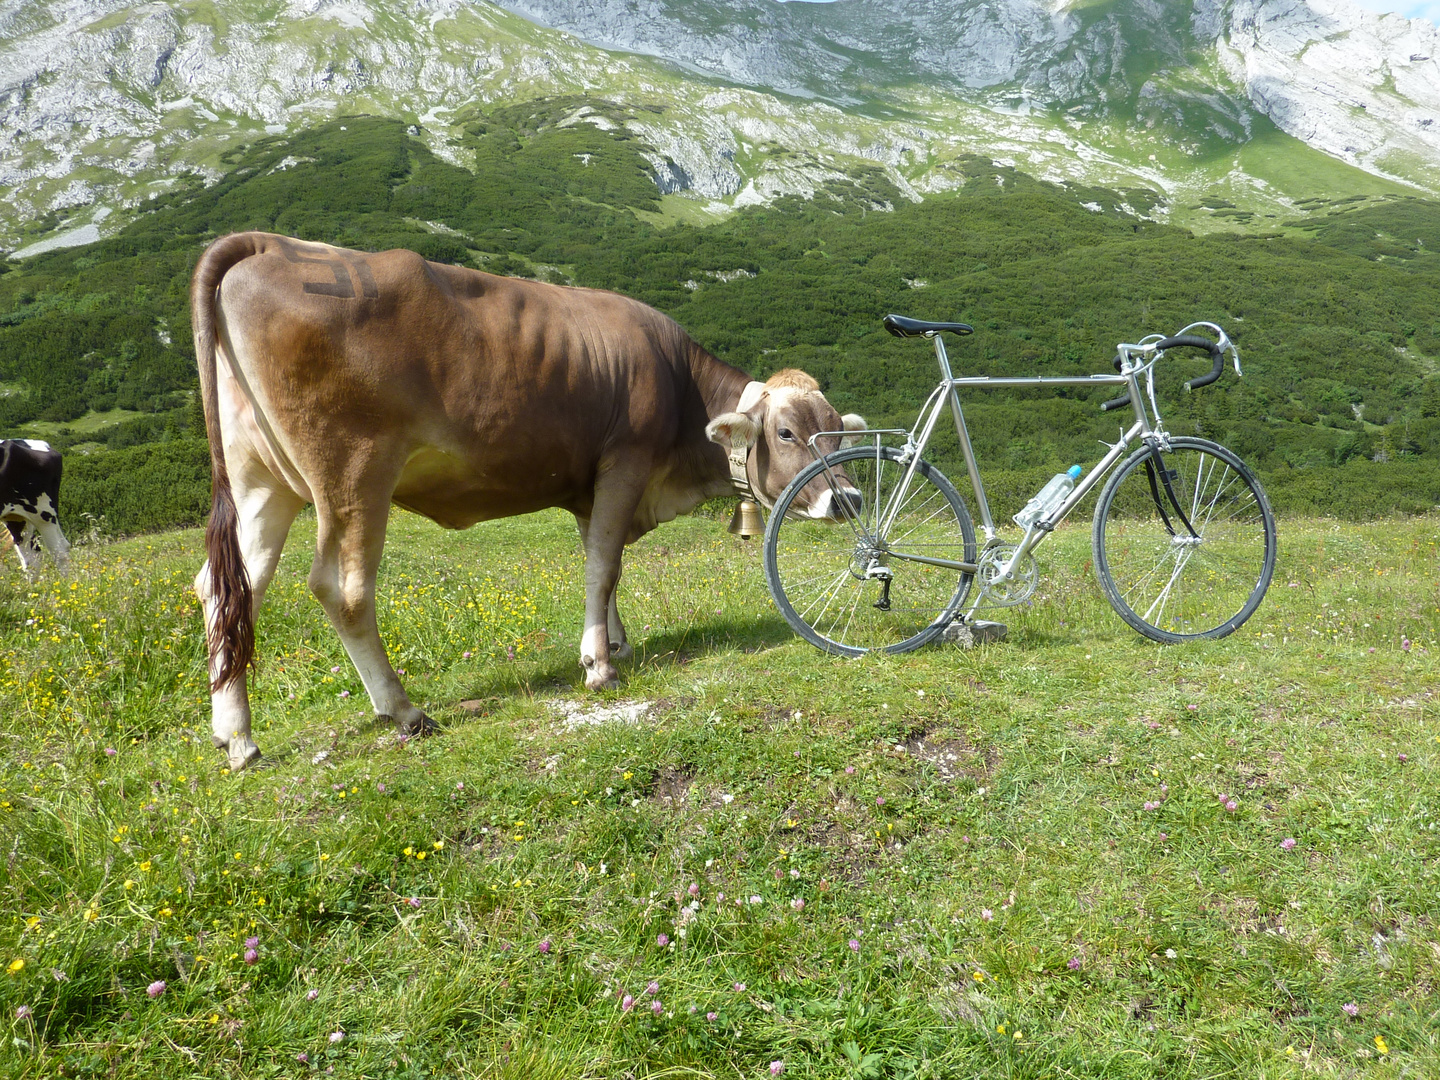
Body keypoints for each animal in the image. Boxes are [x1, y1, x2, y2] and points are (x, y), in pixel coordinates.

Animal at [191, 233, 864, 771]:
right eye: (786, 433)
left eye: (838, 431)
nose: (851, 499)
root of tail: (270, 245)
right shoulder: (624, 462)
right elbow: (604, 566)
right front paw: (599, 666)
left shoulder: (592, 489)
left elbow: (605, 564)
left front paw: (614, 641)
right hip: (352, 471)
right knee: (341, 587)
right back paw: (404, 710)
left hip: (261, 483)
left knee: (229, 589)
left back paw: (237, 738)